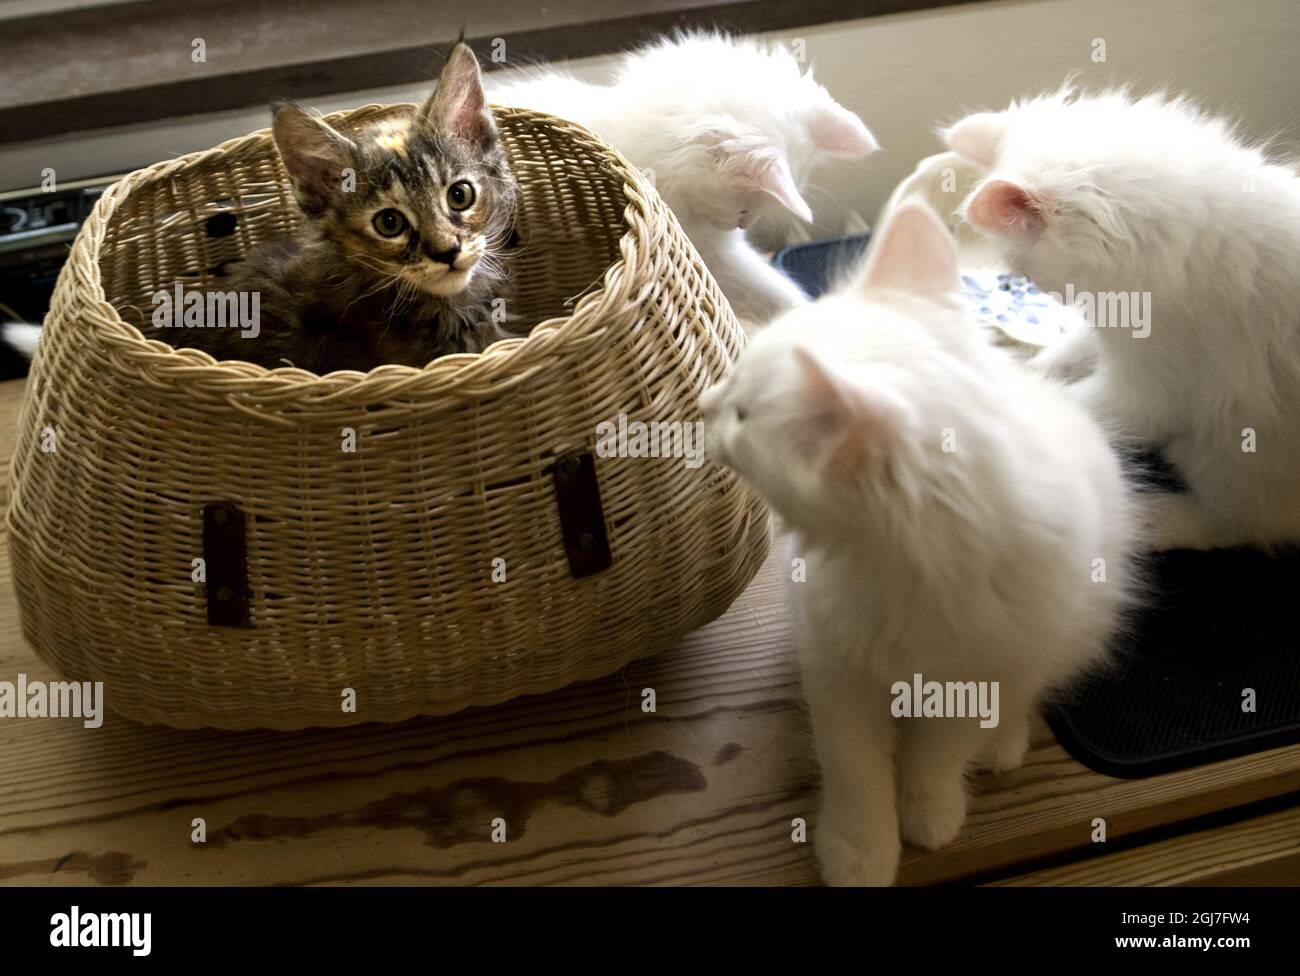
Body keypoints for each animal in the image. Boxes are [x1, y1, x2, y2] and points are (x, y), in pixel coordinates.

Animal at [702, 200, 1138, 883]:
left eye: (743, 415)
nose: (704, 401)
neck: (912, 574)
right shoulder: (836, 666)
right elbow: (854, 767)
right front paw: (860, 848)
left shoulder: (983, 675)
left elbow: (937, 755)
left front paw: (930, 812)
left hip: (1073, 629)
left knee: (1025, 697)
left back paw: (1004, 747)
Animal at [946, 89, 1300, 551]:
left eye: (1024, 273)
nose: (1035, 288)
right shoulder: (1107, 332)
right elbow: (1067, 353)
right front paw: (1027, 368)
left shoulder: (1150, 389)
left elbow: (1077, 403)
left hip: (1234, 455)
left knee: (1239, 522)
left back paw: (1156, 519)